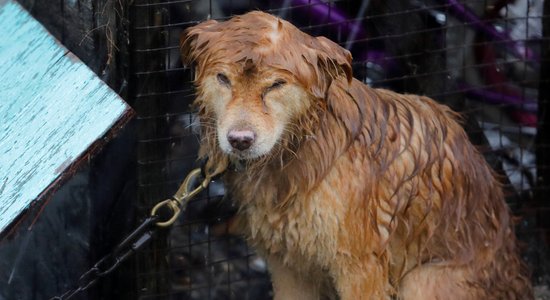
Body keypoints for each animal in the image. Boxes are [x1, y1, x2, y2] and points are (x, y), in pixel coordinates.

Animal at [181, 10, 536, 298]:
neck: (305, 146)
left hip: (424, 281)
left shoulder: (359, 268)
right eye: (223, 78)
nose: (240, 140)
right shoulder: (288, 266)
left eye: (276, 84)